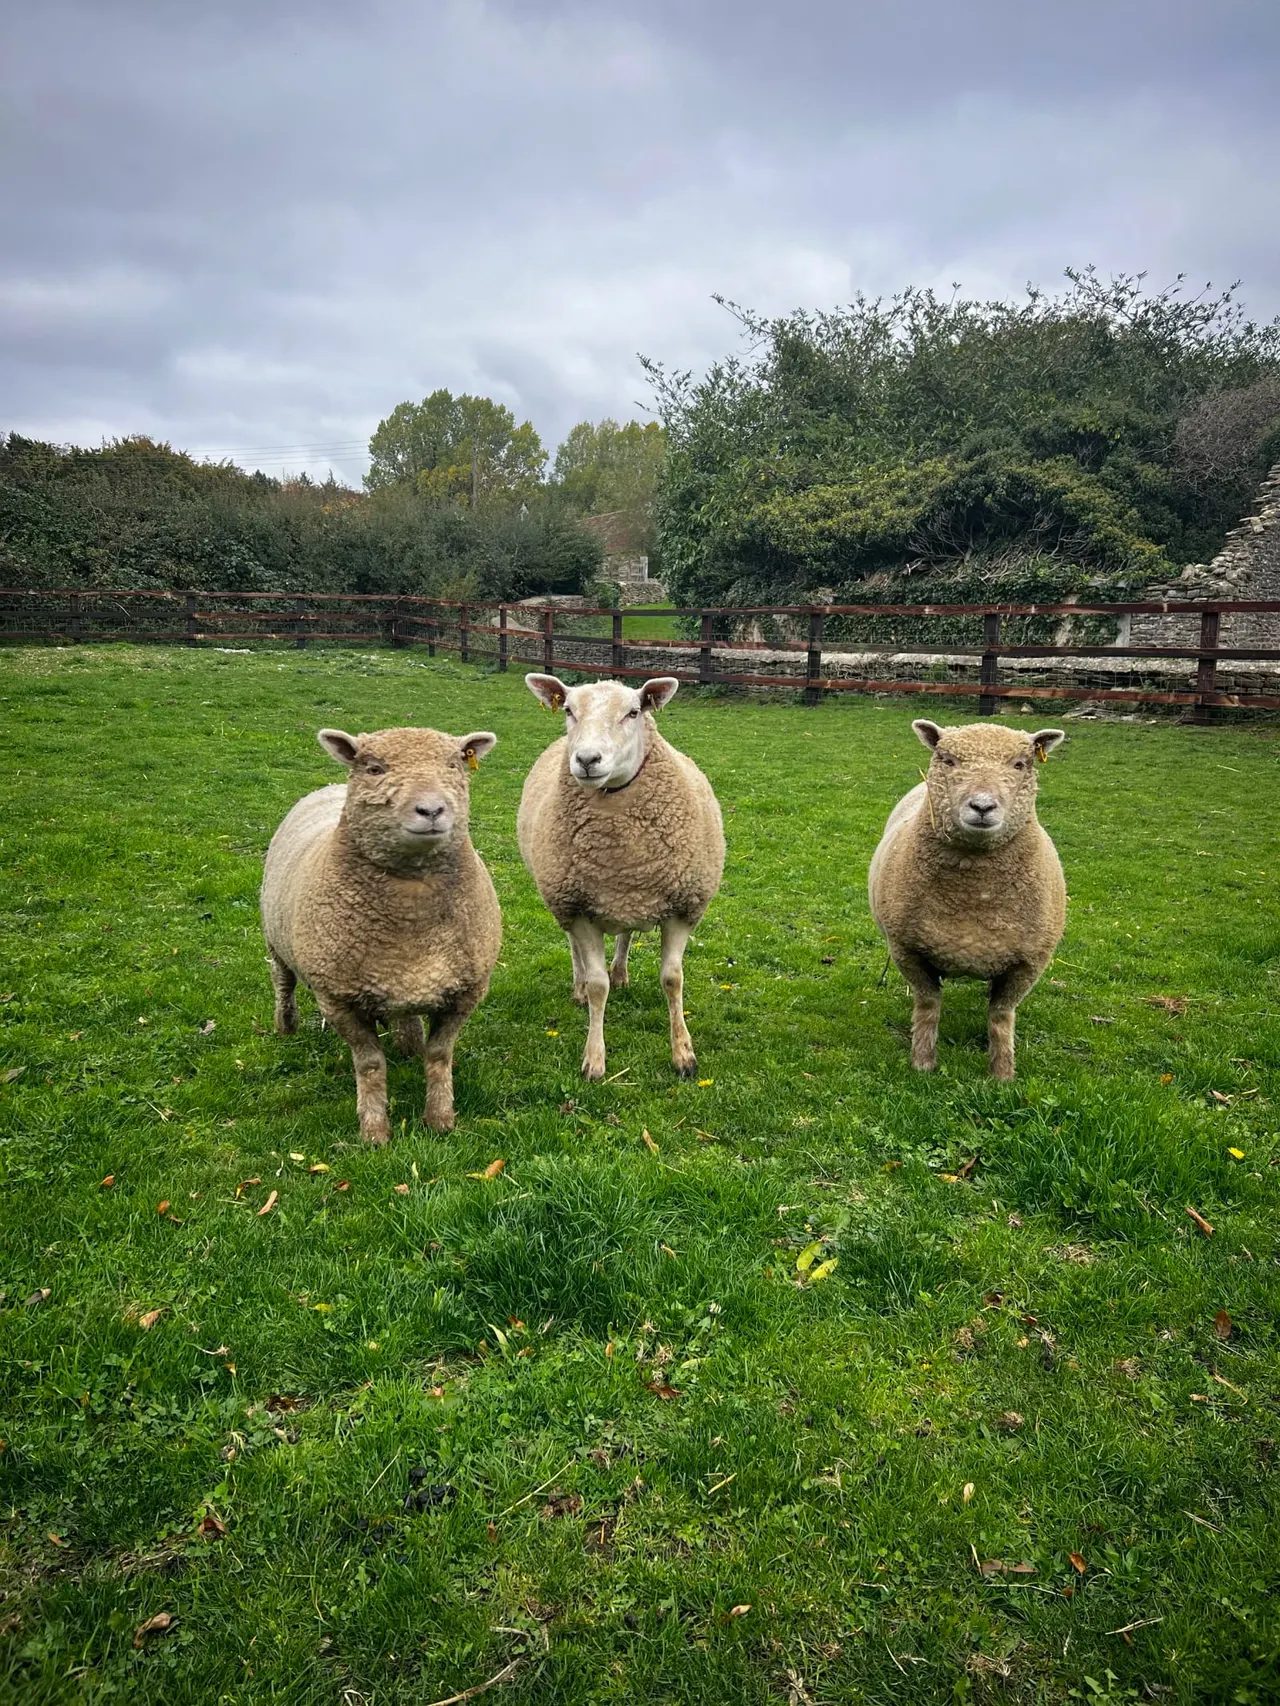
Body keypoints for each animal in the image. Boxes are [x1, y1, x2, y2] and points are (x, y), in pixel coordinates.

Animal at [260, 725, 501, 1142]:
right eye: (374, 769)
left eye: (453, 765)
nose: (432, 810)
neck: (412, 918)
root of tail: (328, 787)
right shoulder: (337, 999)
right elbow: (370, 1064)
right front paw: (374, 1131)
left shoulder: (467, 990)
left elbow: (439, 1055)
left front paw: (440, 1119)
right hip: (276, 941)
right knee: (283, 982)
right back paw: (286, 1025)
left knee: (404, 1015)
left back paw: (408, 1043)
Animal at [517, 674, 725, 1081]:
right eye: (568, 710)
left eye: (633, 712)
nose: (586, 760)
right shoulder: (579, 909)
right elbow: (598, 987)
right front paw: (594, 1060)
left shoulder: (683, 908)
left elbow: (672, 979)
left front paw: (684, 1054)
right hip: (562, 898)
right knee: (575, 950)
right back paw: (579, 987)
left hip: (624, 900)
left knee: (625, 935)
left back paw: (621, 972)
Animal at [868, 718, 1067, 1080]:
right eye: (949, 760)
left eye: (1020, 764)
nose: (982, 806)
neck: (974, 901)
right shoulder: (907, 950)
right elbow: (928, 1005)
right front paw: (922, 1063)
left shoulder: (1029, 963)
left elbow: (1001, 1015)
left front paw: (1002, 1075)